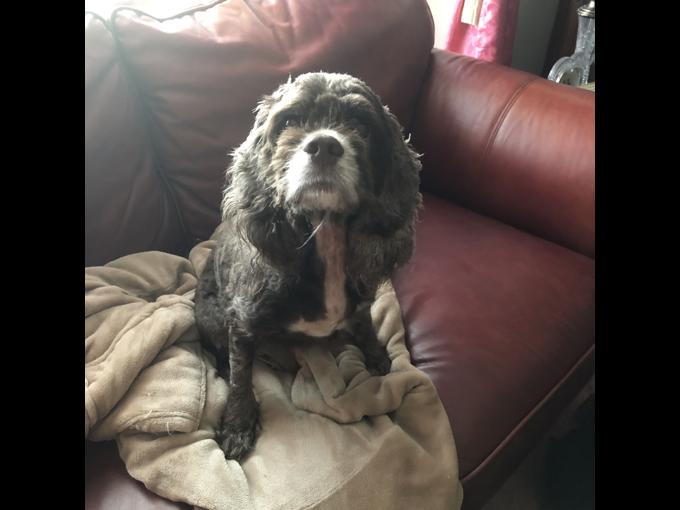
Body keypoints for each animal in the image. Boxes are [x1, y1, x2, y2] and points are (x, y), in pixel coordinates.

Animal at [194, 72, 422, 462]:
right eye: (289, 122)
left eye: (360, 124)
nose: (325, 146)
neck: (324, 236)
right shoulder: (241, 323)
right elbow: (240, 378)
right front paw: (238, 425)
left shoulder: (360, 305)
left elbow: (365, 325)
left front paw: (377, 355)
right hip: (210, 314)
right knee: (222, 353)